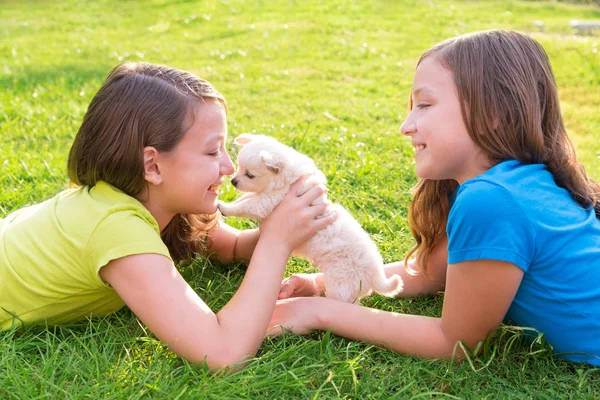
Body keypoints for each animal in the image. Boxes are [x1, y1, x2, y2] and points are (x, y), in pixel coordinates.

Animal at [217, 134, 404, 304]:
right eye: (239, 167)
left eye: (250, 174)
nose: (233, 181)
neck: (287, 179)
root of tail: (377, 275)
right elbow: (245, 199)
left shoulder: (268, 200)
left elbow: (246, 205)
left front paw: (224, 207)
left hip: (341, 286)